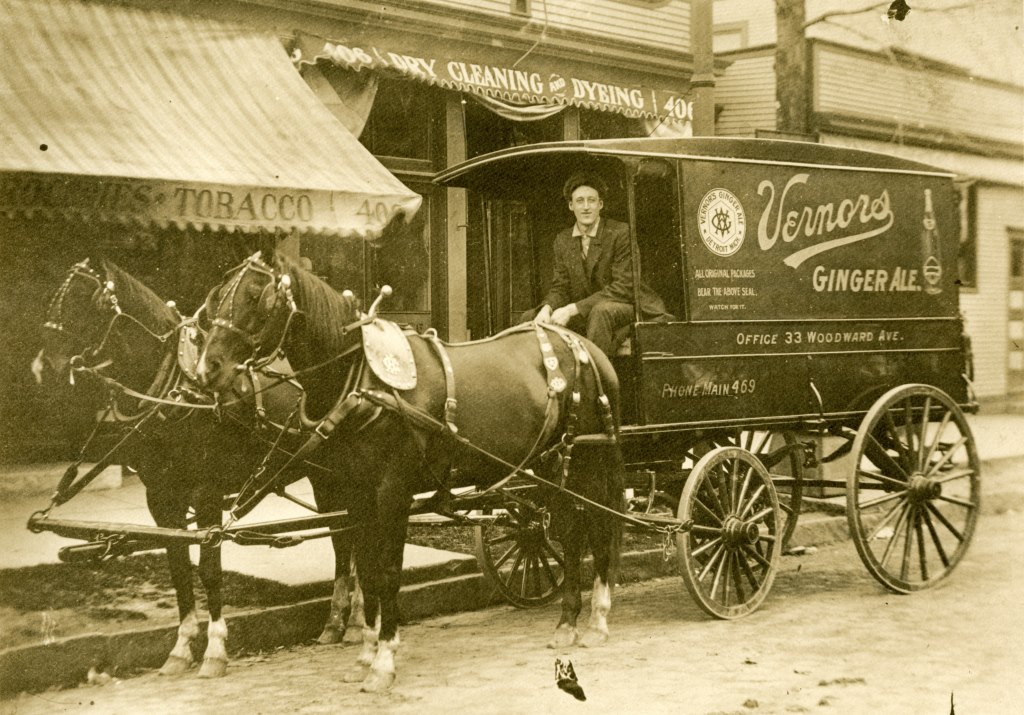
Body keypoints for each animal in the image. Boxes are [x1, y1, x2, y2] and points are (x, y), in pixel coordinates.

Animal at [34, 259, 362, 676]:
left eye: (85, 300)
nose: (43, 367)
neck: (178, 390)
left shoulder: (206, 492)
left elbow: (208, 568)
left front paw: (215, 650)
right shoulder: (160, 496)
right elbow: (177, 566)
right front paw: (181, 648)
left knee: (351, 535)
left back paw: (356, 620)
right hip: (326, 475)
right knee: (343, 537)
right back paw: (338, 622)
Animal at [193, 250, 622, 692]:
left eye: (256, 297)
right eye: (217, 298)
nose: (208, 368)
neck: (362, 381)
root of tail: (585, 346)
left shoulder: (393, 492)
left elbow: (387, 572)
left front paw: (384, 659)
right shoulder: (357, 494)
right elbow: (366, 571)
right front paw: (365, 653)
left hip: (587, 458)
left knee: (601, 527)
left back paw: (597, 619)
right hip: (551, 464)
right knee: (569, 533)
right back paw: (567, 622)